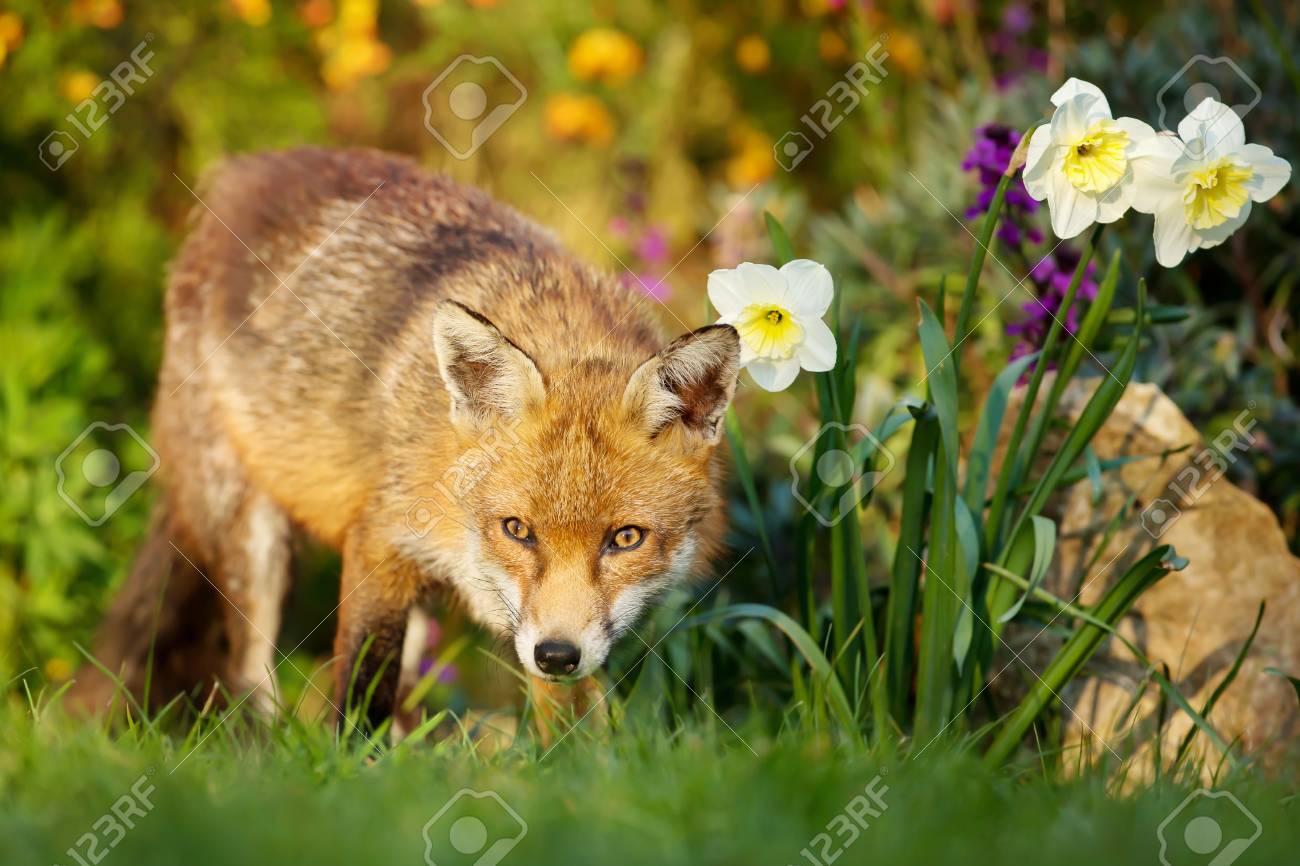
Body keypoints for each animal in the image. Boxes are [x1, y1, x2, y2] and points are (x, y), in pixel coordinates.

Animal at [71, 147, 741, 735]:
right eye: (517, 530)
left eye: (625, 539)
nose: (556, 654)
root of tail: (238, 172)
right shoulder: (380, 539)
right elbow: (360, 689)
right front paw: (343, 773)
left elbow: (573, 727)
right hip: (250, 542)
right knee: (246, 682)